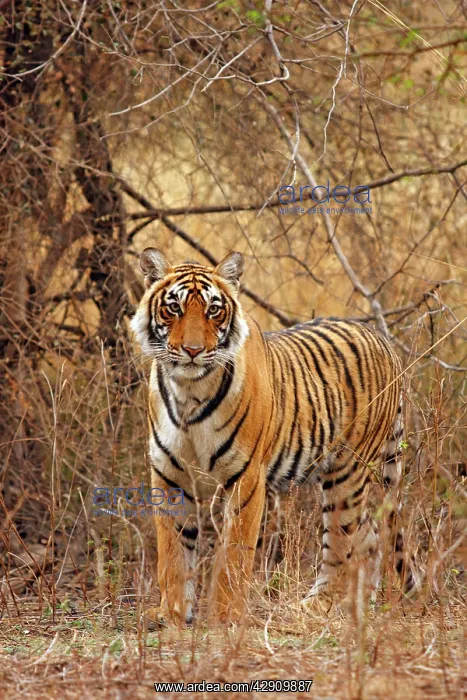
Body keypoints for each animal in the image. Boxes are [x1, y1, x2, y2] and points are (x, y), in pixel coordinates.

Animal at [130, 247, 415, 626]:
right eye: (173, 307)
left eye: (213, 309)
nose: (192, 350)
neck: (188, 391)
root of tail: (383, 339)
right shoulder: (169, 475)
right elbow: (172, 552)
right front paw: (173, 613)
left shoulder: (246, 478)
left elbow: (235, 554)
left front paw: (224, 617)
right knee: (367, 535)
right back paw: (360, 605)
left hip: (347, 473)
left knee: (344, 540)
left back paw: (319, 604)